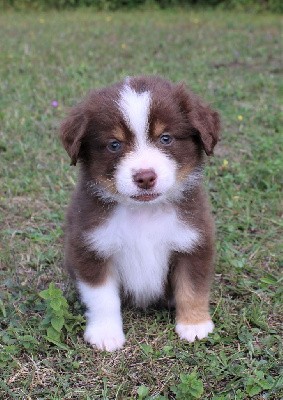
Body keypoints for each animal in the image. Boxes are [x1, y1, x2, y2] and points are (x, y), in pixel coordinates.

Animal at [60, 75, 221, 350]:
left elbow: (192, 288)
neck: (144, 212)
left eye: (165, 138)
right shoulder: (91, 246)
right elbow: (102, 297)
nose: (145, 177)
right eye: (114, 144)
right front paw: (105, 334)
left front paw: (194, 325)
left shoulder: (193, 242)